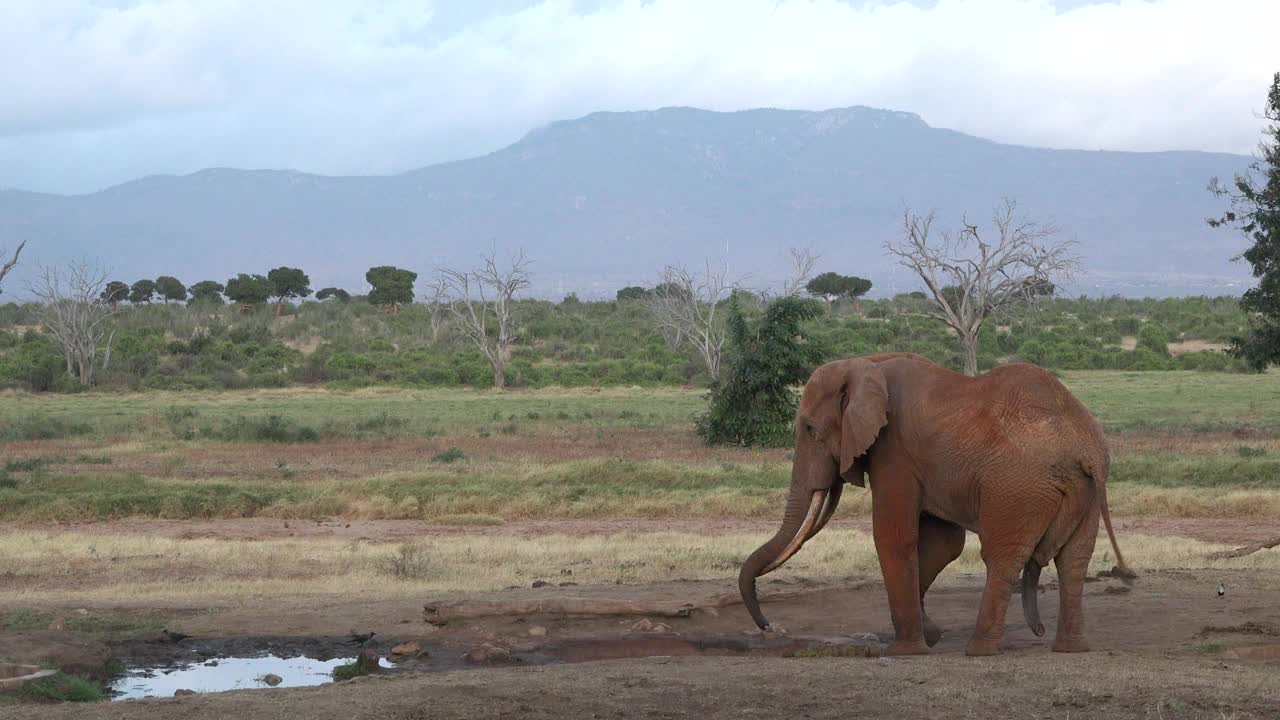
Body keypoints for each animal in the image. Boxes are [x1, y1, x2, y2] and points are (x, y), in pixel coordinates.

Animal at [742, 351, 1131, 653]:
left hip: (1017, 487)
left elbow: (893, 537)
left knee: (1002, 557)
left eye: (810, 429)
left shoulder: (894, 450)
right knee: (1074, 560)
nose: (769, 626)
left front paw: (907, 651)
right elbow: (944, 544)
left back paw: (979, 650)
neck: (866, 364)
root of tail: (1085, 449)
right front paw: (930, 635)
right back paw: (1070, 647)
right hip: (1085, 492)